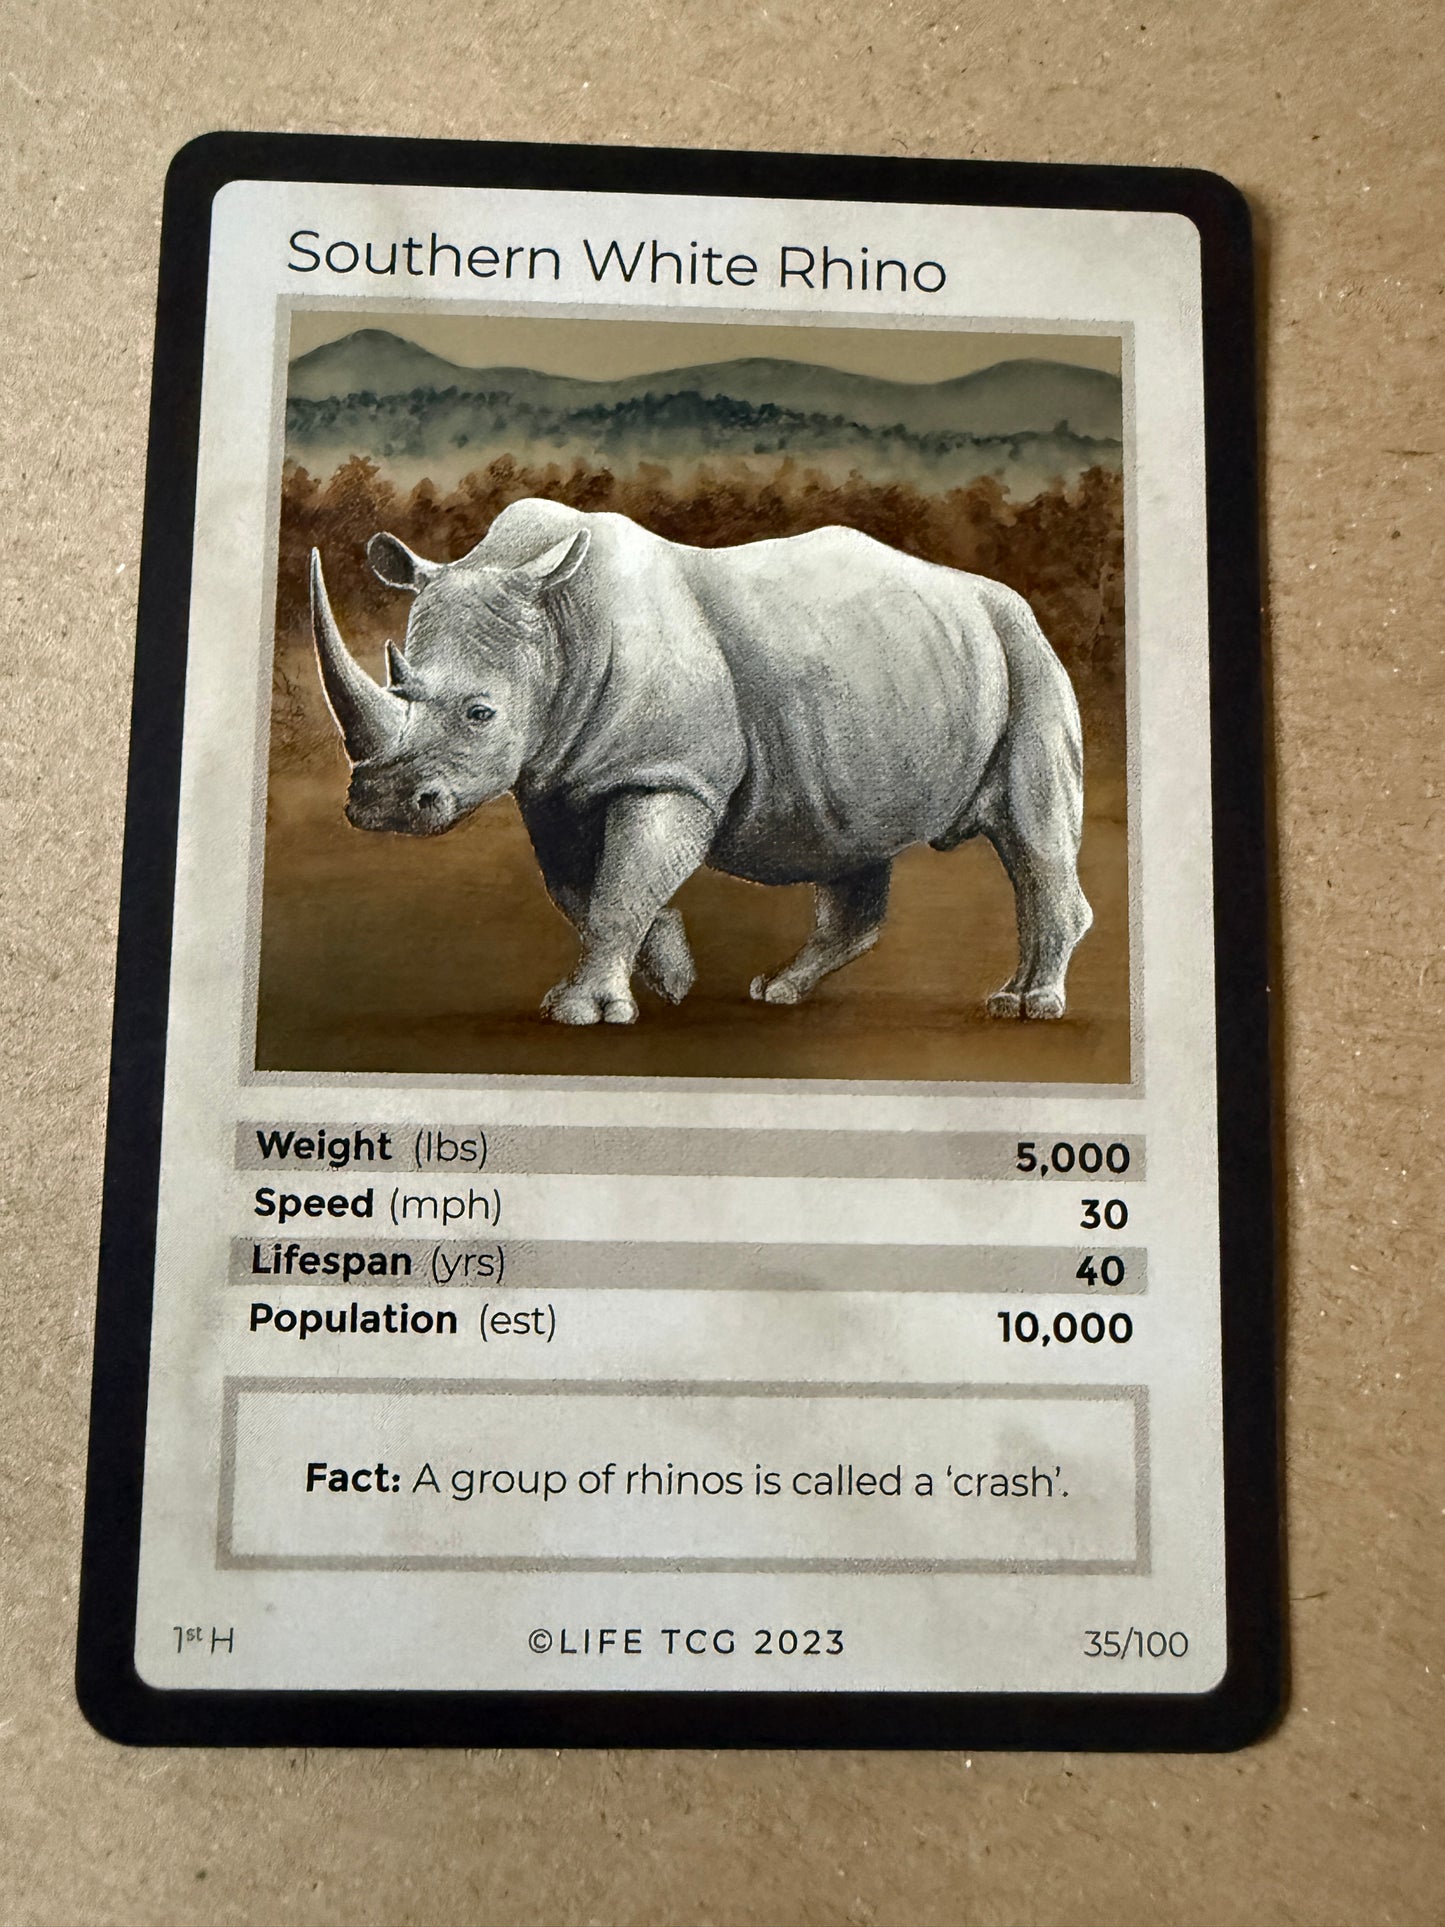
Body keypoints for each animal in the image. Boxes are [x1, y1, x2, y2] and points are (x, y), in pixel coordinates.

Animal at [309, 498, 1091, 1026]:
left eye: (481, 713)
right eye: (398, 684)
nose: (382, 805)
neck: (559, 624)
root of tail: (1006, 602)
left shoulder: (668, 771)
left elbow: (621, 882)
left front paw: (584, 1011)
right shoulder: (552, 782)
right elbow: (582, 889)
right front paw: (670, 974)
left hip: (1026, 657)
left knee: (1032, 837)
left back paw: (1026, 1005)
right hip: (888, 681)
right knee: (851, 840)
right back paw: (779, 991)